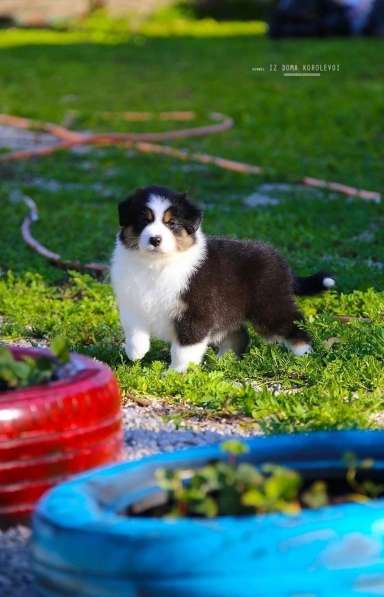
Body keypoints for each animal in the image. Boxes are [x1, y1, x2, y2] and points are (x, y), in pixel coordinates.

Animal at [109, 186, 334, 372]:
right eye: (143, 221)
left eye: (171, 223)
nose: (155, 239)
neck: (155, 264)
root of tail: (281, 262)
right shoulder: (133, 302)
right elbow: (134, 330)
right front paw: (135, 353)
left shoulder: (195, 313)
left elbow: (183, 348)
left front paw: (176, 373)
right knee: (239, 335)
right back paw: (223, 361)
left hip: (269, 308)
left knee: (294, 325)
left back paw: (304, 355)